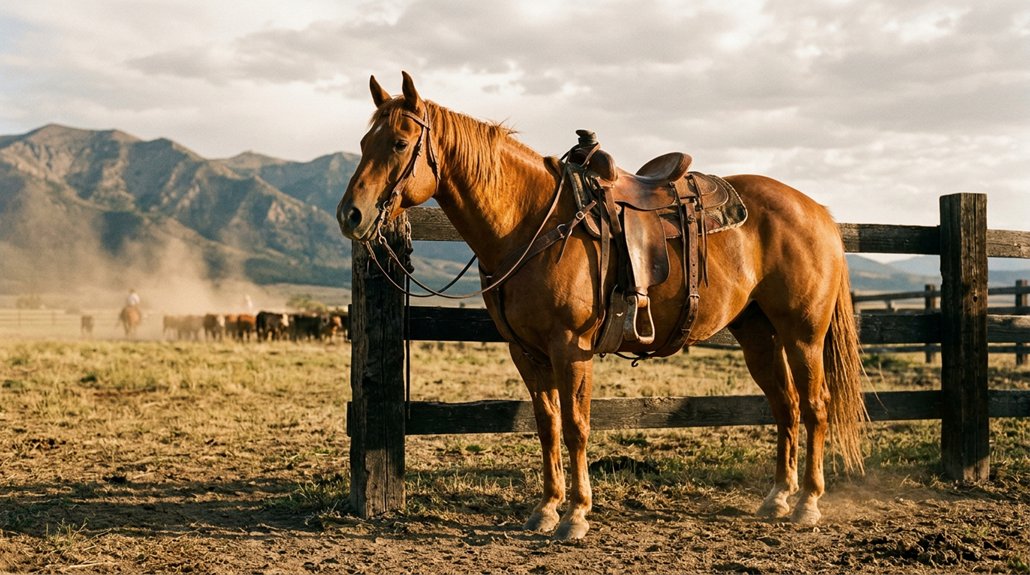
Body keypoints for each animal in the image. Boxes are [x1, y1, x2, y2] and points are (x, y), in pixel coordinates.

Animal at [337, 72, 866, 540]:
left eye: (400, 143)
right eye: (363, 143)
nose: (351, 215)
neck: (530, 222)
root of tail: (819, 212)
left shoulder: (571, 348)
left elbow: (575, 426)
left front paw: (576, 515)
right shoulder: (526, 353)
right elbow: (547, 425)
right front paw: (547, 509)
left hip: (803, 334)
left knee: (815, 406)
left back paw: (807, 503)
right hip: (757, 333)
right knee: (786, 406)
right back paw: (777, 498)